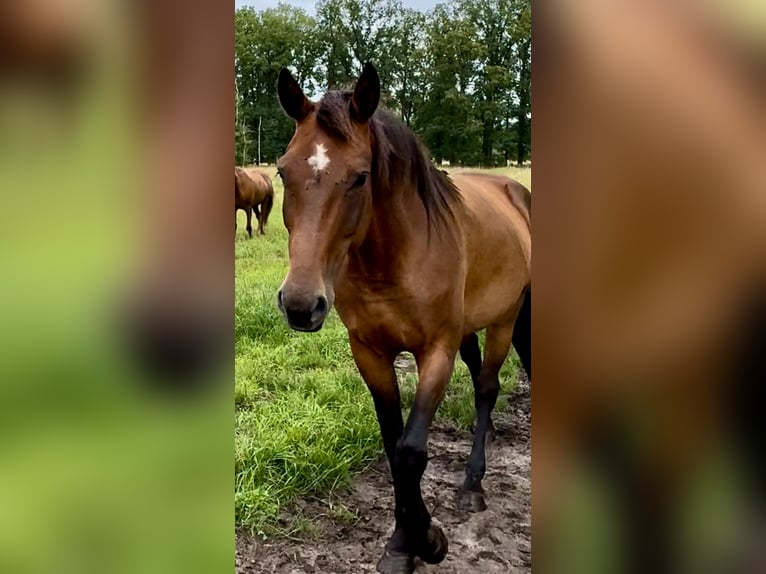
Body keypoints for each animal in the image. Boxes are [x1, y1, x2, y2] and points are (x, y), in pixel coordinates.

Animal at [276, 63, 536, 574]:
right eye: (282, 170)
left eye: (360, 177)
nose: (300, 303)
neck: (392, 261)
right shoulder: (370, 353)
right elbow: (393, 446)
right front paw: (401, 544)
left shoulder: (435, 350)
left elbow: (412, 450)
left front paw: (428, 540)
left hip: (505, 319)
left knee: (486, 388)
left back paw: (472, 486)